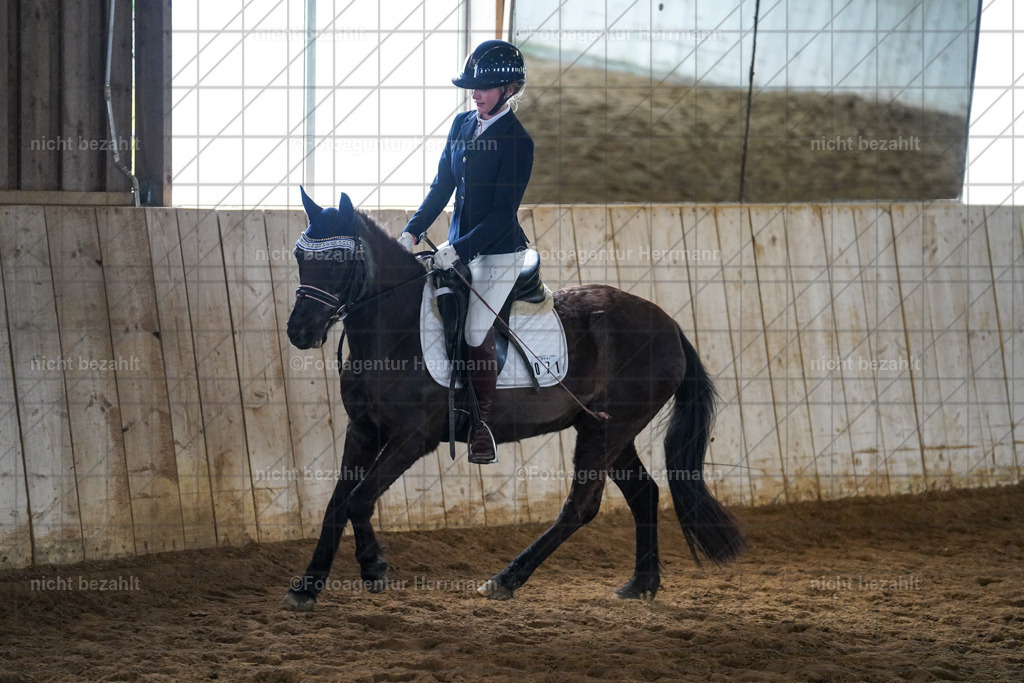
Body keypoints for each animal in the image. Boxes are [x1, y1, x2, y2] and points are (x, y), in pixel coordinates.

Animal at [283, 189, 745, 610]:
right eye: (299, 256)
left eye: (338, 260)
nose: (300, 332)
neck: (396, 328)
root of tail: (669, 324)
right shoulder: (363, 429)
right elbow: (336, 504)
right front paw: (307, 586)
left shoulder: (412, 438)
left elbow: (359, 498)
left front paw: (373, 568)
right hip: (607, 427)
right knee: (644, 493)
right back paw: (640, 584)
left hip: (606, 430)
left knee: (581, 506)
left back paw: (505, 580)